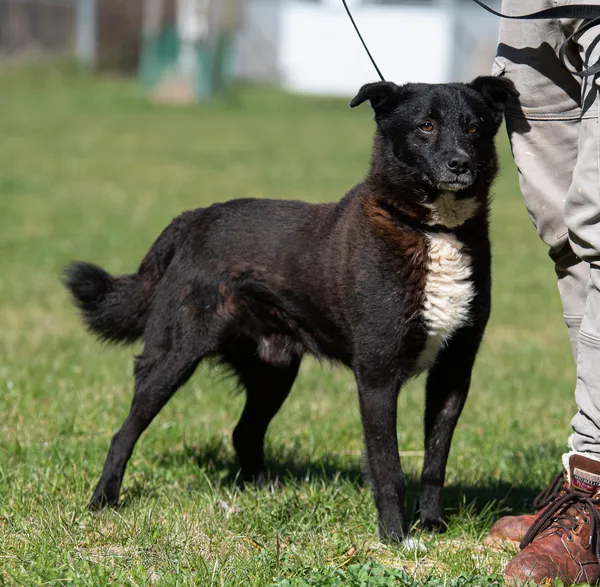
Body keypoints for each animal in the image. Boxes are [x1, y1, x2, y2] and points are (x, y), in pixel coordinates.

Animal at [64, 77, 516, 544]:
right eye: (425, 125)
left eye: (474, 127)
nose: (460, 163)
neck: (432, 230)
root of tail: (191, 219)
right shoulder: (377, 375)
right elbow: (388, 467)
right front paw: (395, 537)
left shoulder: (452, 373)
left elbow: (434, 461)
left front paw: (433, 524)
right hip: (173, 357)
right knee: (125, 432)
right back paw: (103, 500)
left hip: (274, 371)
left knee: (244, 433)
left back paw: (265, 494)